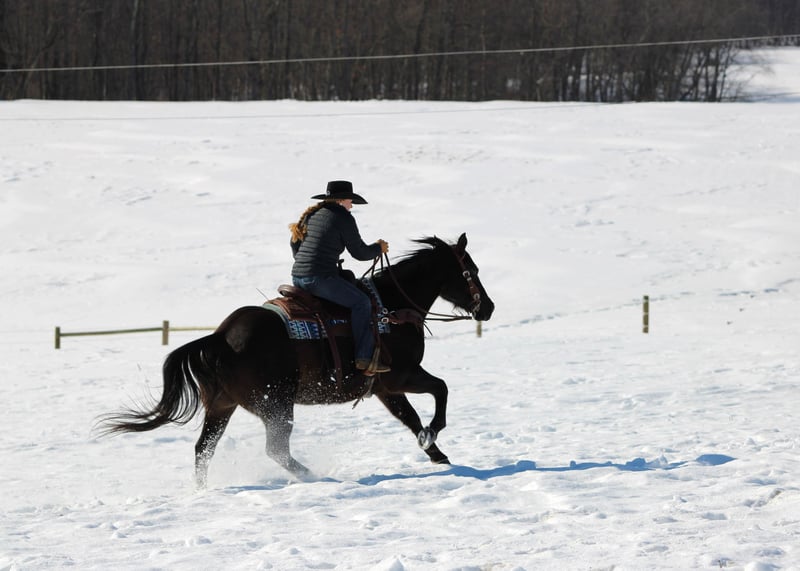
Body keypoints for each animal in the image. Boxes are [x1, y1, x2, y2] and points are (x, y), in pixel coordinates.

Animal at [99, 233, 494, 488]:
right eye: (471, 271)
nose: (487, 308)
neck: (391, 307)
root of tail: (221, 337)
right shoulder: (402, 376)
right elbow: (440, 389)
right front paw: (434, 434)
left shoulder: (384, 388)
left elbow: (410, 418)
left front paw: (435, 452)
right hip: (276, 404)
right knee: (275, 449)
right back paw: (313, 475)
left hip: (223, 405)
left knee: (203, 449)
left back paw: (202, 490)